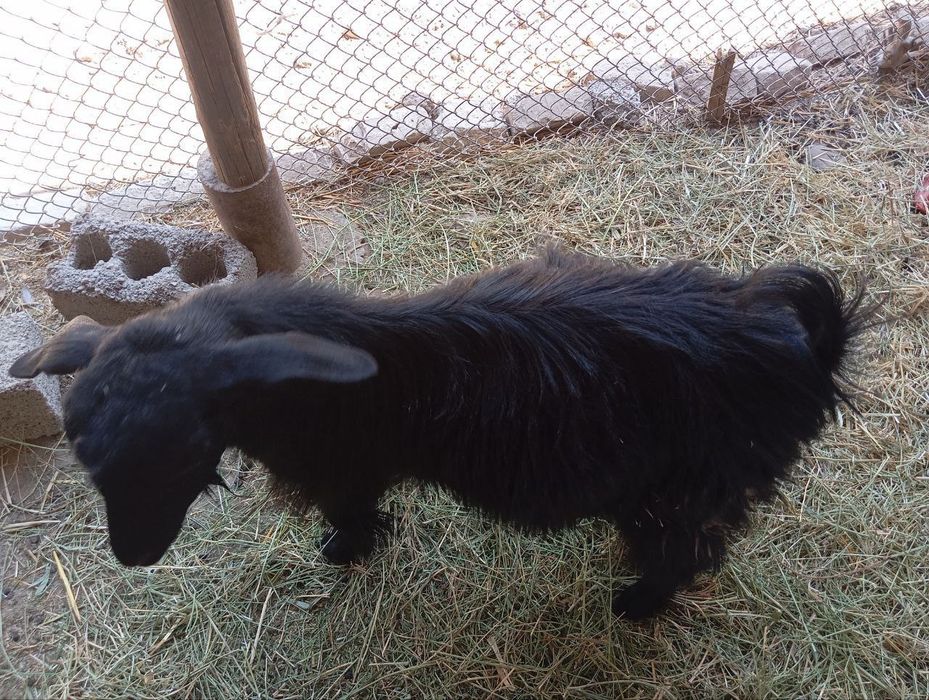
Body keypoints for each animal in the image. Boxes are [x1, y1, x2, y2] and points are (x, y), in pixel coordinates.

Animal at [10, 247, 873, 620]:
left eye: (185, 452)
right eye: (89, 464)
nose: (134, 556)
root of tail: (807, 349)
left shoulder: (340, 471)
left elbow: (350, 513)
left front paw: (343, 552)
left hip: (687, 487)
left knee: (684, 549)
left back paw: (636, 601)